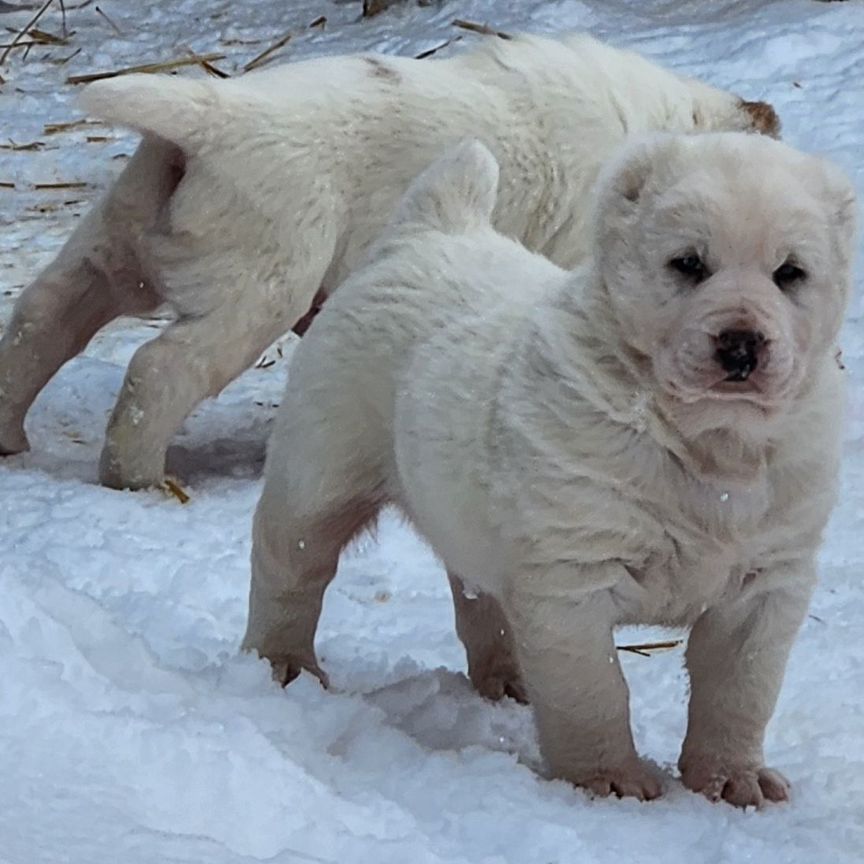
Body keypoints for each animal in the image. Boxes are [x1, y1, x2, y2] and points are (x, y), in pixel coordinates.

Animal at [0, 32, 780, 492]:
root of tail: (211, 113)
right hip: (259, 285)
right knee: (159, 369)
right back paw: (136, 478)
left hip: (118, 244)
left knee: (43, 317)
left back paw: (10, 438)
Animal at [245, 132, 856, 808]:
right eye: (689, 264)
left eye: (790, 273)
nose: (741, 343)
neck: (706, 442)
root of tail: (428, 229)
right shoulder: (574, 576)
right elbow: (594, 687)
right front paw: (608, 779)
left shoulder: (766, 582)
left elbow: (741, 689)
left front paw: (732, 780)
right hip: (320, 469)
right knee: (291, 567)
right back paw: (280, 666)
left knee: (479, 595)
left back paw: (507, 681)